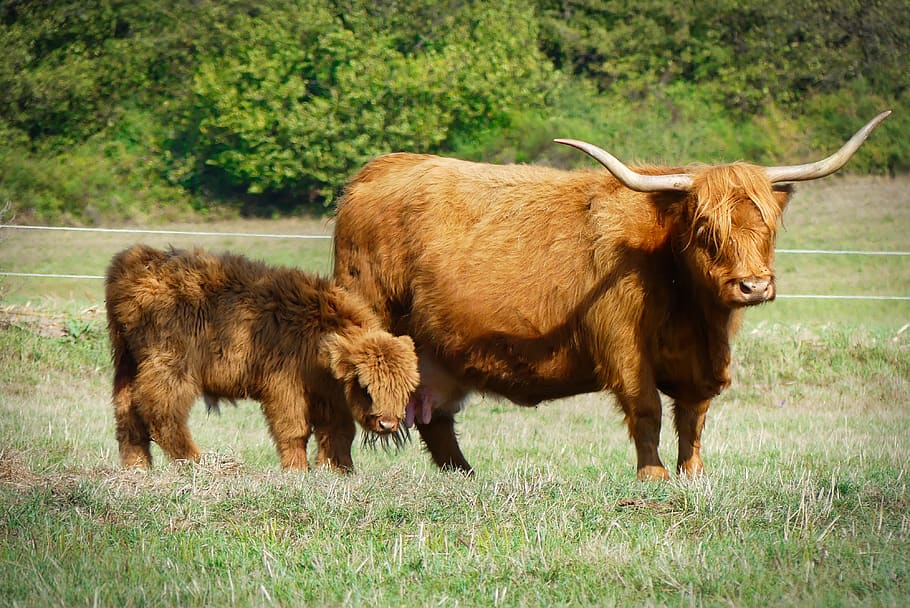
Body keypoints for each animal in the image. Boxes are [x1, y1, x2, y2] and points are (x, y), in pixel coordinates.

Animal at [105, 245, 419, 471]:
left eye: (407, 389)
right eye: (365, 386)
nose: (388, 424)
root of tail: (140, 261)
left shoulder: (331, 398)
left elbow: (338, 433)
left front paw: (339, 471)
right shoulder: (284, 390)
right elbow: (294, 430)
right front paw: (297, 470)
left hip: (127, 364)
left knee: (127, 413)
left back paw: (138, 467)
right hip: (171, 367)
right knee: (160, 411)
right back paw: (196, 461)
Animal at [332, 111, 891, 480]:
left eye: (768, 226)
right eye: (705, 227)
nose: (753, 285)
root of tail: (374, 172)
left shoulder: (699, 364)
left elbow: (693, 416)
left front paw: (692, 472)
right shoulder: (622, 344)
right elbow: (647, 410)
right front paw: (653, 476)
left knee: (438, 421)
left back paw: (467, 477)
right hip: (367, 320)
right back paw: (337, 472)